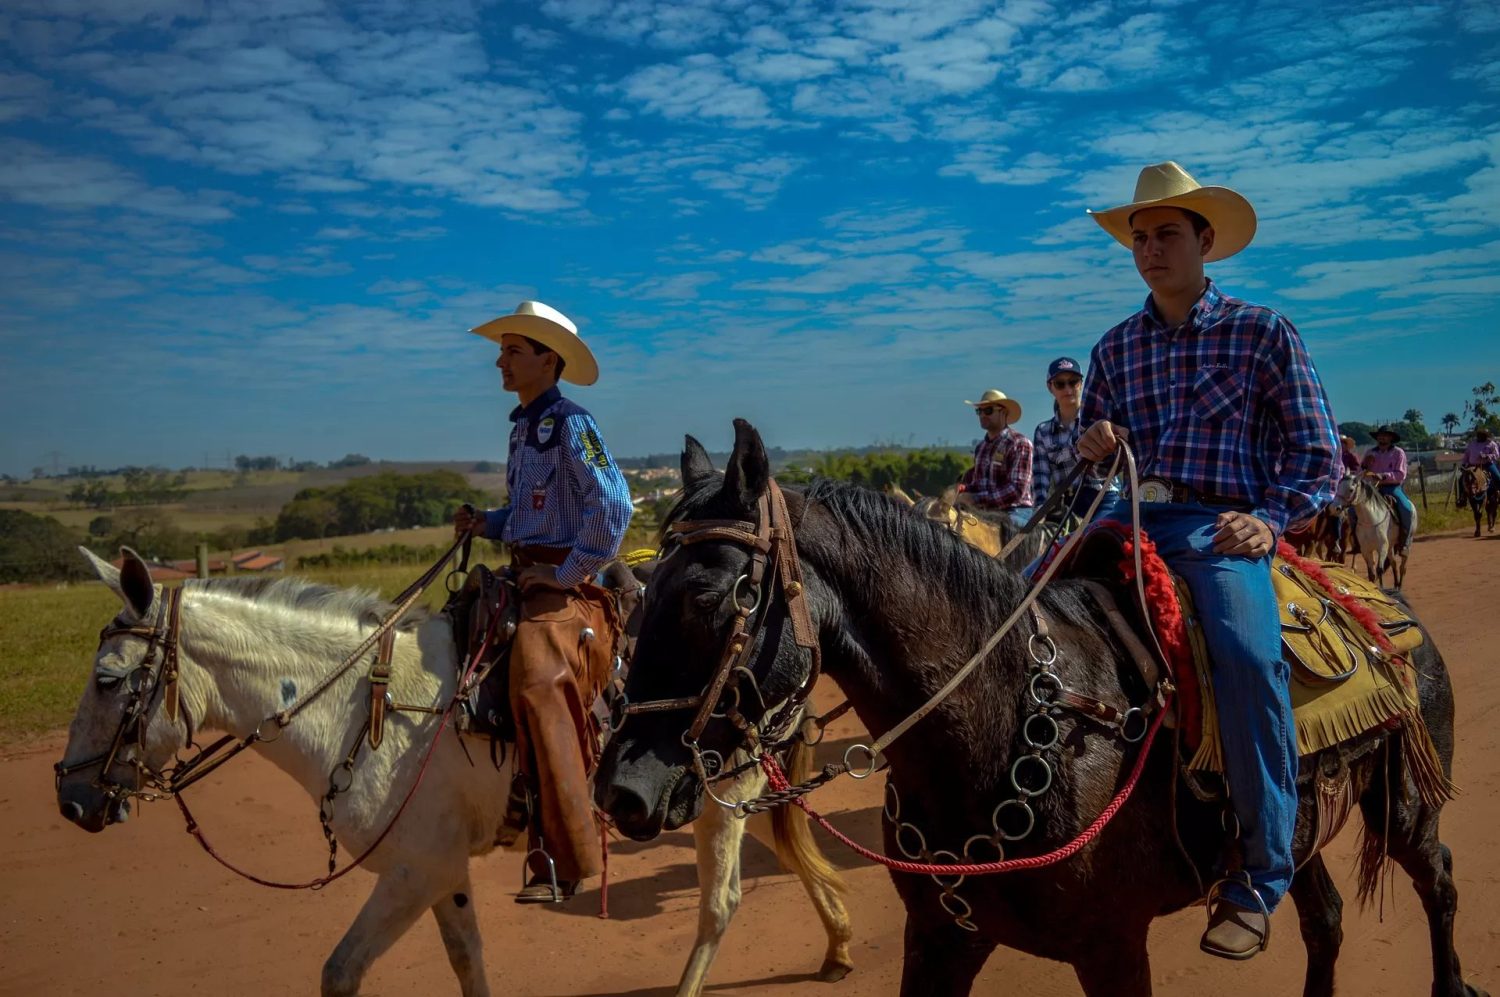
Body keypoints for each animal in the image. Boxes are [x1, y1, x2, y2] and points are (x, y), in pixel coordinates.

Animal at [58, 548, 852, 995]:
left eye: (106, 679)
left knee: (720, 903)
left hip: (720, 798)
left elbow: (340, 972)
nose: (69, 797)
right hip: (728, 794)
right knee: (789, 849)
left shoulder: (414, 870)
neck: (365, 707)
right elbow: (466, 960)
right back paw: (839, 946)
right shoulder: (440, 871)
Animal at [591, 419, 1482, 995]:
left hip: (1402, 803)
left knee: (1438, 878)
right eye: (637, 599)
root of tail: (1382, 603)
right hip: (1291, 828)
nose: (620, 792)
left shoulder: (1113, 949)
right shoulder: (941, 940)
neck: (1004, 724)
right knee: (1323, 916)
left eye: (712, 597)